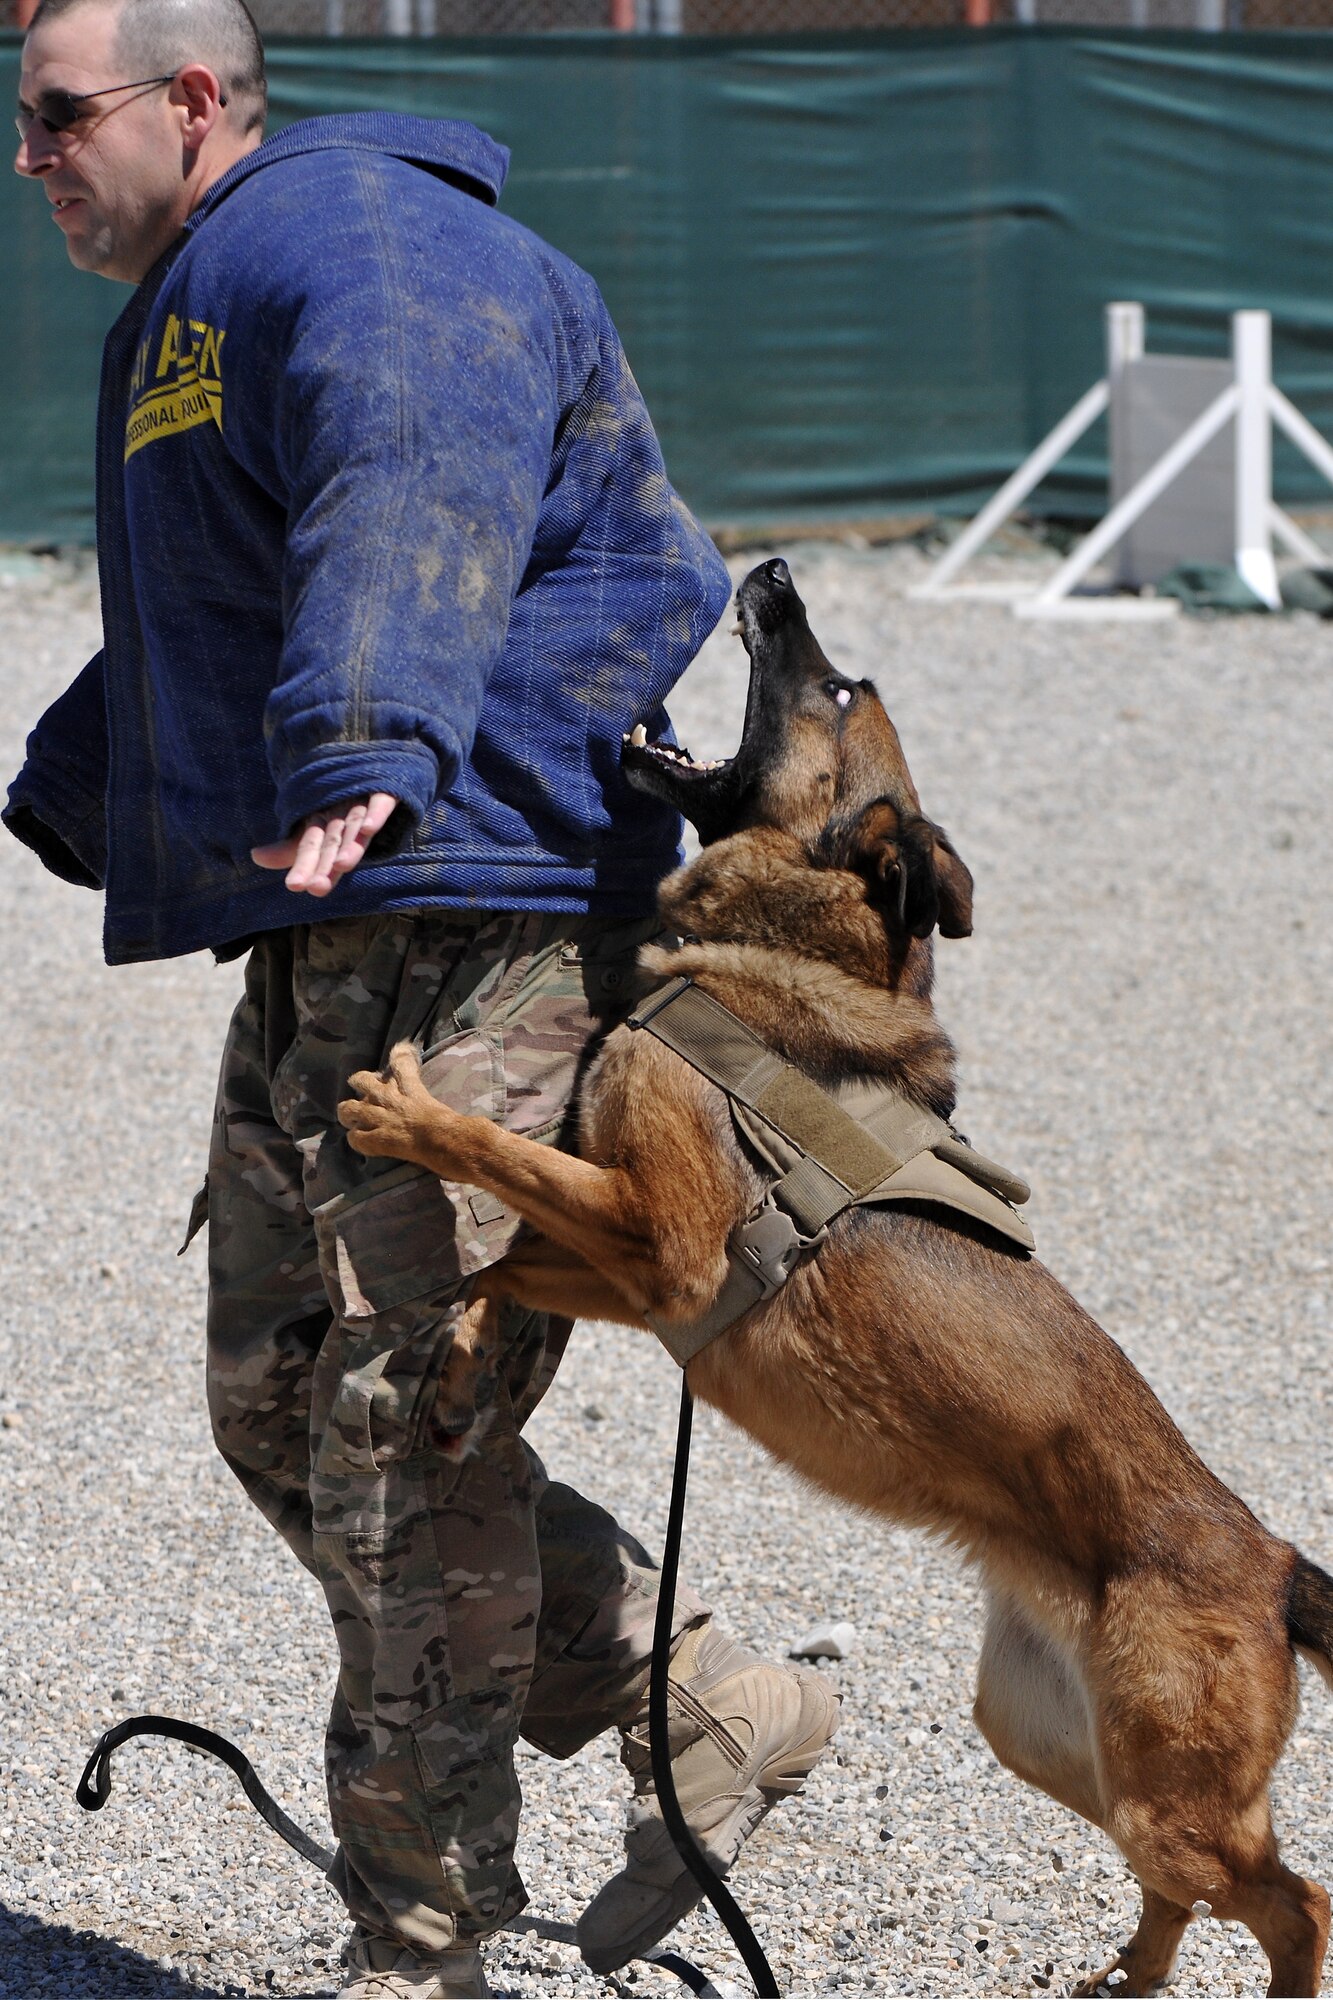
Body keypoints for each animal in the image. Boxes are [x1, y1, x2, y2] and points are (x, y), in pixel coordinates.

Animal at [338, 556, 1328, 1992]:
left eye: (838, 687)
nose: (771, 570)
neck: (781, 960)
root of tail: (1271, 1565)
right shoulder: (644, 1270)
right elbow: (507, 1261)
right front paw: (463, 1375)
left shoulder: (663, 1244)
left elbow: (499, 1169)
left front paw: (407, 1114)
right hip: (1048, 1736)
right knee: (1187, 1889)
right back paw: (1128, 1976)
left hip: (1166, 1789)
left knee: (1292, 1898)